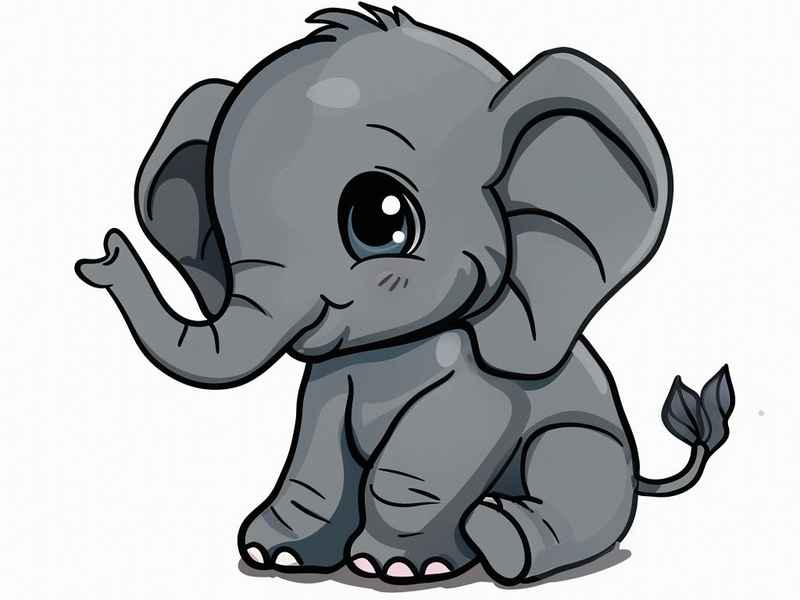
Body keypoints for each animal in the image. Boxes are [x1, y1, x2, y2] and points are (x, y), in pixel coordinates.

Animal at [75, 3, 735, 586]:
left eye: (380, 217)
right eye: (214, 219)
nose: (101, 255)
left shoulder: (479, 378)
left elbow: (430, 451)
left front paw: (394, 568)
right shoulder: (331, 381)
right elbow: (316, 455)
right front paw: (275, 556)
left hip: (587, 446)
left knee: (568, 471)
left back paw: (498, 537)